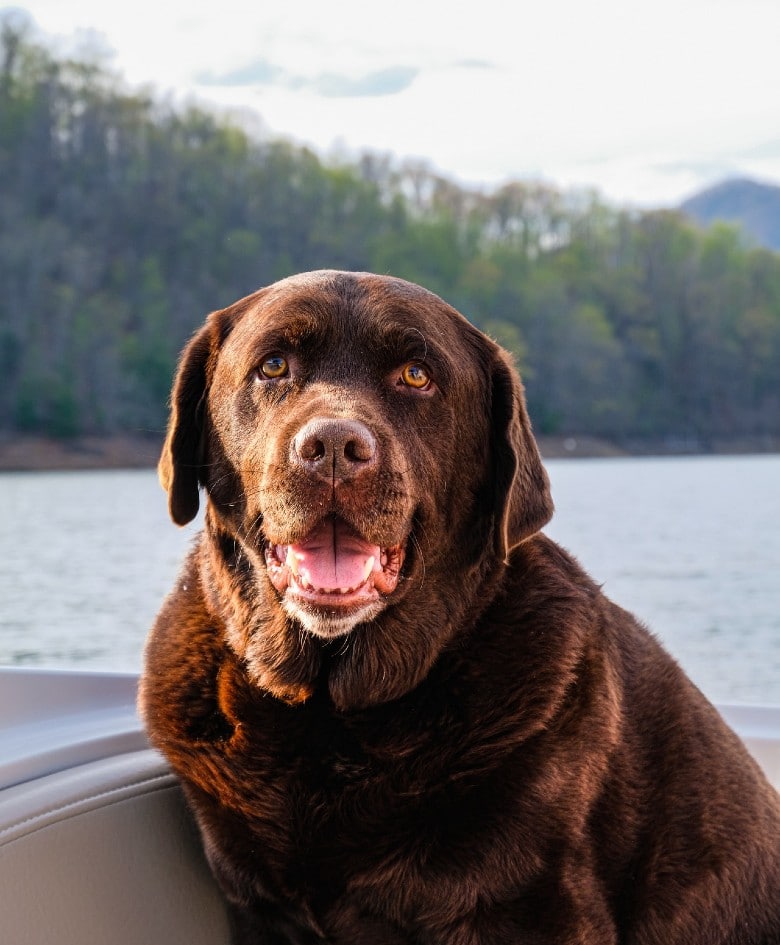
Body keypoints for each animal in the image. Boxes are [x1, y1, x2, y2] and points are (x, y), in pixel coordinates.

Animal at [142, 270, 780, 940]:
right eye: (273, 365)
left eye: (416, 374)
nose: (334, 445)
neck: (331, 717)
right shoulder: (261, 909)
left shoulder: (541, 910)